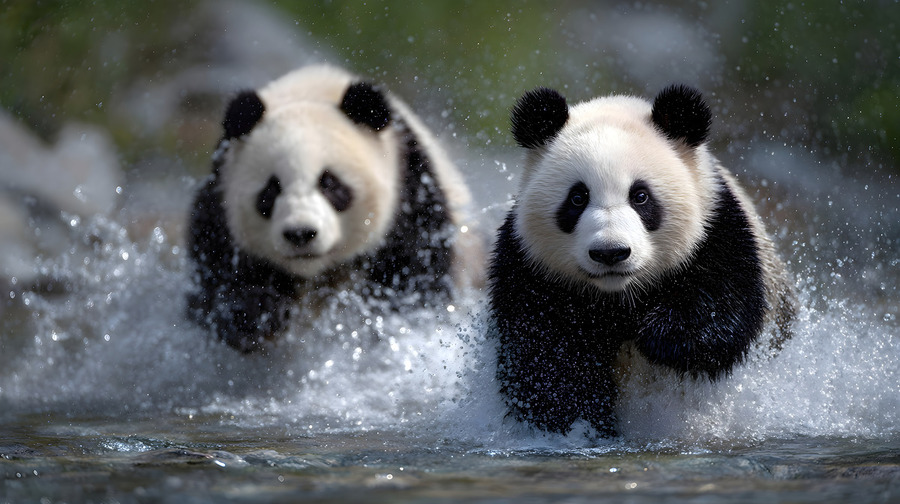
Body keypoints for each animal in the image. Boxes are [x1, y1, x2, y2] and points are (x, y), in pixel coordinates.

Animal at [186, 65, 482, 352]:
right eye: (271, 190)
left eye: (329, 183)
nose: (300, 234)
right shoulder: (219, 204)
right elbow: (219, 280)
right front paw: (258, 314)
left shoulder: (412, 189)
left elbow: (415, 274)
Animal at [488, 84, 795, 436]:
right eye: (577, 198)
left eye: (640, 196)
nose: (610, 253)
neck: (619, 296)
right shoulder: (532, 269)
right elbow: (542, 358)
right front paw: (583, 423)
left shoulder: (717, 229)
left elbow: (720, 309)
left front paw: (659, 336)